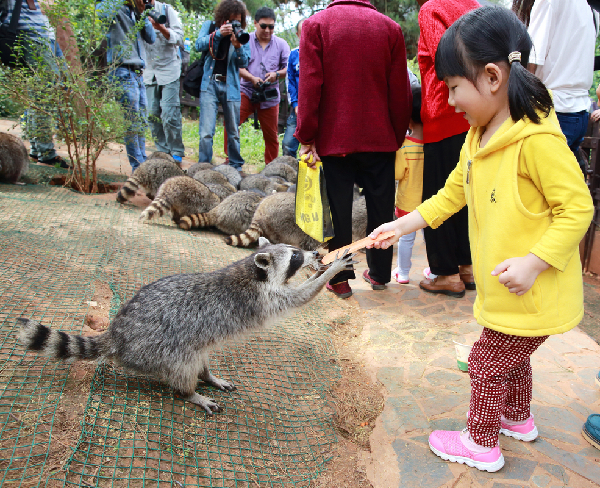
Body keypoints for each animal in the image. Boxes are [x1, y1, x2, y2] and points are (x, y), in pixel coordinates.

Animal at [16, 242, 356, 414]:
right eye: (295, 255)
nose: (315, 253)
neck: (251, 269)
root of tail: (118, 333)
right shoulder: (264, 299)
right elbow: (300, 297)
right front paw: (330, 271)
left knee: (200, 355)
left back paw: (207, 376)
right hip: (159, 346)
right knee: (183, 365)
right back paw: (190, 391)